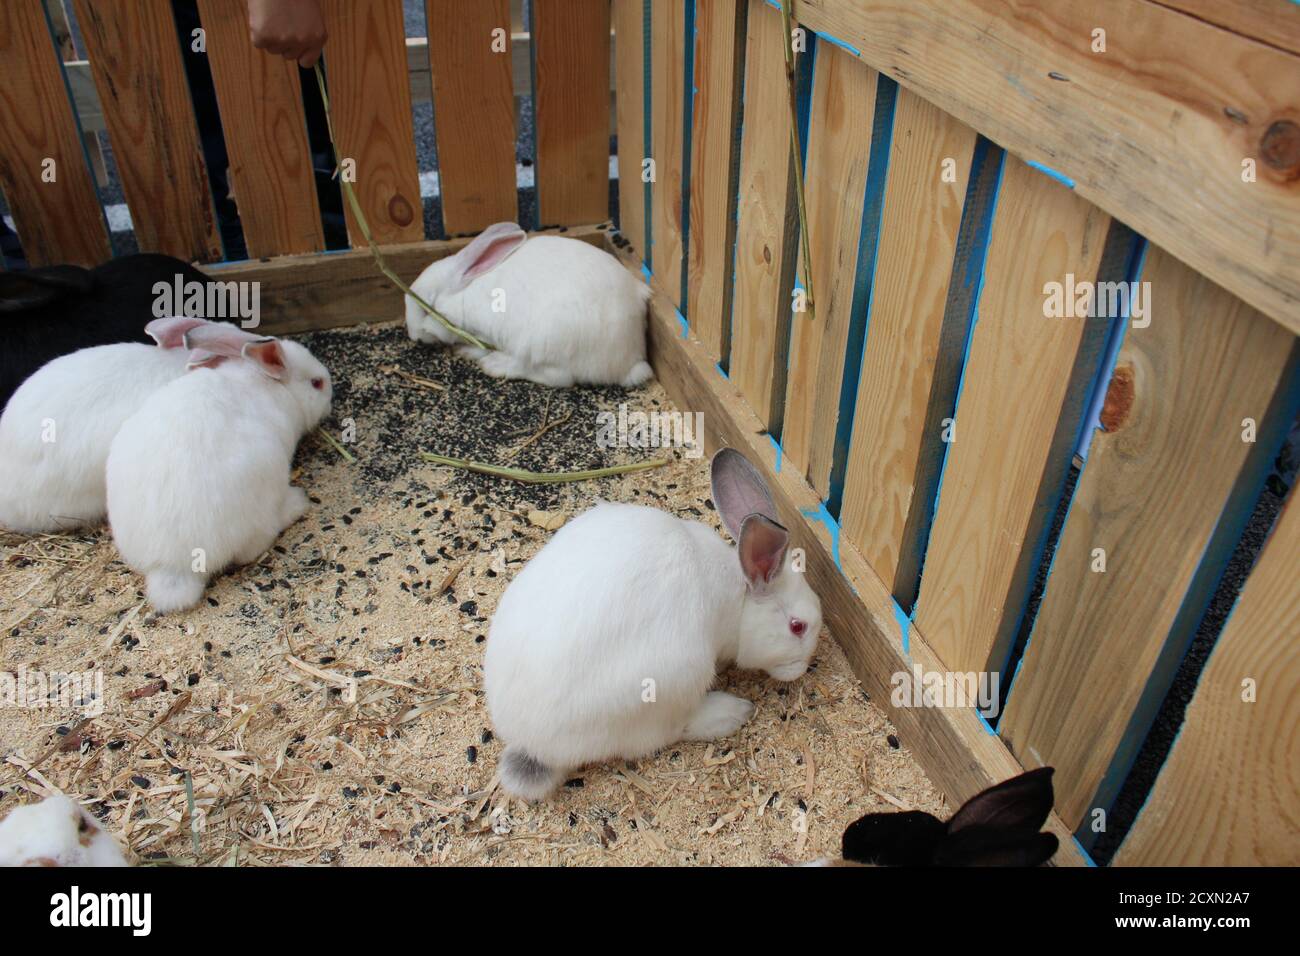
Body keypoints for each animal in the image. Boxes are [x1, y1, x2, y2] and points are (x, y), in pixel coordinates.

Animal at [106, 323, 332, 614]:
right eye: (317, 383)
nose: (330, 399)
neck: (263, 381)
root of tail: (173, 564)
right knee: (255, 544)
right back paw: (298, 503)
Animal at [404, 222, 653, 388]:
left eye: (427, 307)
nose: (415, 337)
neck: (465, 290)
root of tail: (631, 360)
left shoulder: (481, 331)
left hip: (543, 343)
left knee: (556, 377)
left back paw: (495, 364)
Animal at [484, 448, 823, 801]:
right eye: (798, 626)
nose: (803, 667)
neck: (740, 597)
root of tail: (533, 744)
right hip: (676, 681)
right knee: (673, 729)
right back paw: (733, 711)